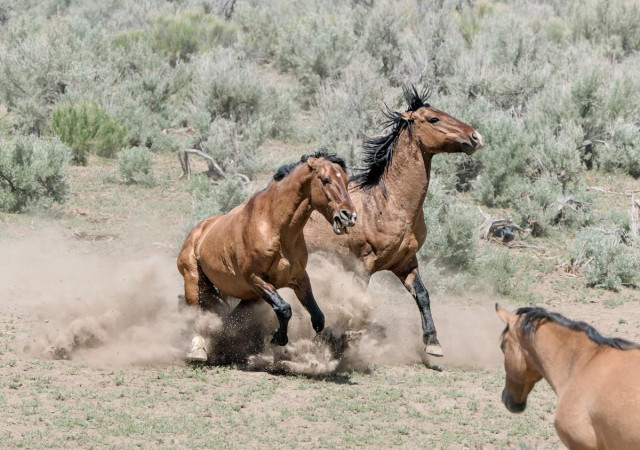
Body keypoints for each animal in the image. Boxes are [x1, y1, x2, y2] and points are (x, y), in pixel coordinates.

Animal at [178, 150, 357, 362]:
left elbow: (317, 318)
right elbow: (284, 308)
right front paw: (278, 337)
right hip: (193, 279)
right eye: (325, 180)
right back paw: (199, 350)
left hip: (249, 296)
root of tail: (198, 230)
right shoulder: (255, 278)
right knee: (196, 314)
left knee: (230, 318)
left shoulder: (299, 278)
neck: (274, 227)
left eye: (346, 180)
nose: (349, 216)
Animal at [304, 86, 483, 357]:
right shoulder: (364, 263)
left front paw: (433, 342)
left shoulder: (405, 262)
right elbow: (355, 300)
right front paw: (340, 339)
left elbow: (423, 294)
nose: (475, 137)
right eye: (434, 119)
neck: (389, 204)